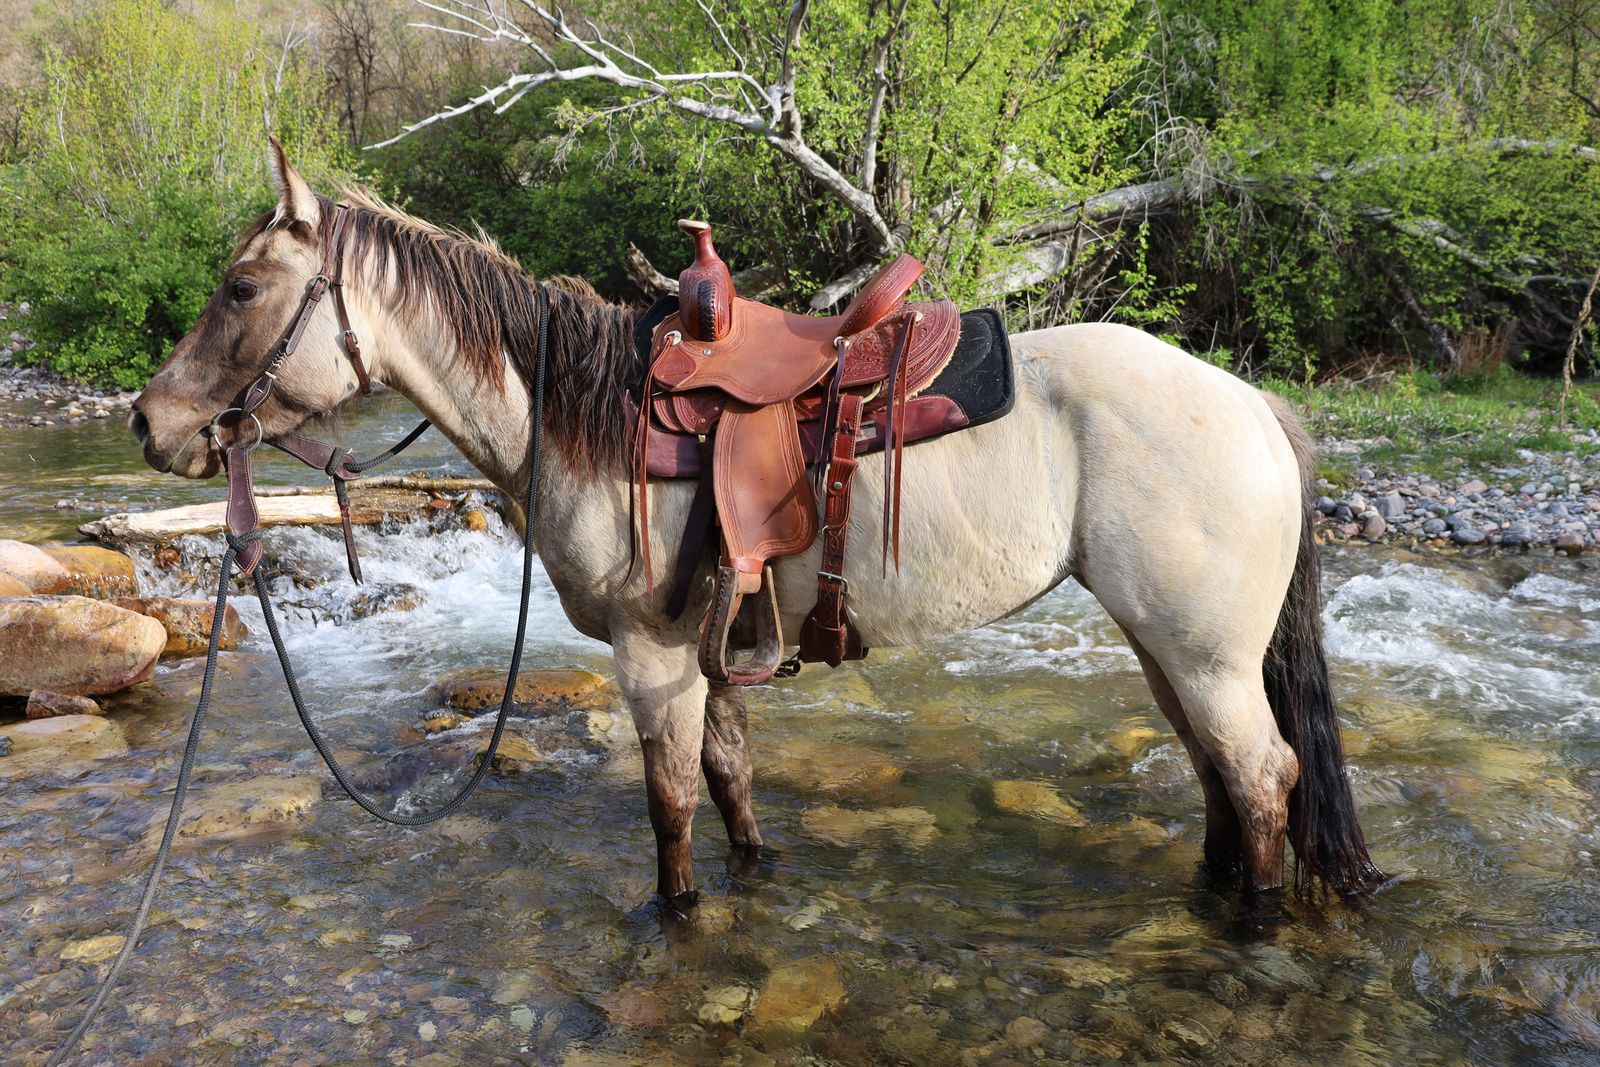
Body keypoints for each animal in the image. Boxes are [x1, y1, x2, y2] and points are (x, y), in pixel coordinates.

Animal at [129, 139, 1383, 910]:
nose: (150, 421)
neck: (579, 414)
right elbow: (731, 784)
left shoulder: (652, 655)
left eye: (242, 288)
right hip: (1168, 646)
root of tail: (1253, 404)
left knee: (1260, 776)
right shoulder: (713, 649)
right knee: (1219, 775)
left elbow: (671, 808)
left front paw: (676, 917)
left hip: (1203, 651)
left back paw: (1254, 919)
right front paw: (752, 877)